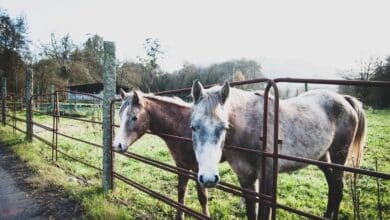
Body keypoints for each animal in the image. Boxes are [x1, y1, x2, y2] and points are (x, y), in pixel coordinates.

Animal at [112, 90, 209, 220]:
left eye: (134, 117)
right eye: (120, 115)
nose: (117, 145)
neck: (184, 126)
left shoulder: (198, 168)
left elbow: (203, 198)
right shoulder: (182, 165)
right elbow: (181, 192)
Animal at [190, 81, 368, 220]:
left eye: (225, 127)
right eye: (193, 127)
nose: (208, 178)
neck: (251, 127)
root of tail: (344, 99)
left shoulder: (267, 179)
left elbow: (263, 213)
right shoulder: (245, 178)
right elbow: (251, 212)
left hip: (339, 154)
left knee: (338, 187)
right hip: (321, 157)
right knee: (332, 185)